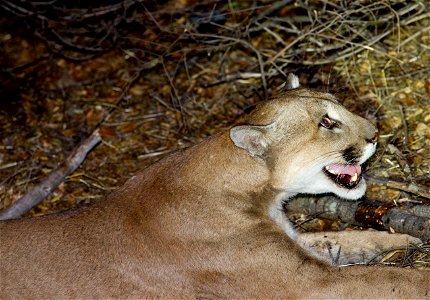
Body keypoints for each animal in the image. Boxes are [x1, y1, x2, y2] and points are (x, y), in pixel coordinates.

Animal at [1, 74, 428, 298]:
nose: (376, 134)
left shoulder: (300, 250)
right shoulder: (308, 282)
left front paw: (409, 238)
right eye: (326, 122)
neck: (261, 194)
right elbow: (386, 278)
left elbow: (354, 240)